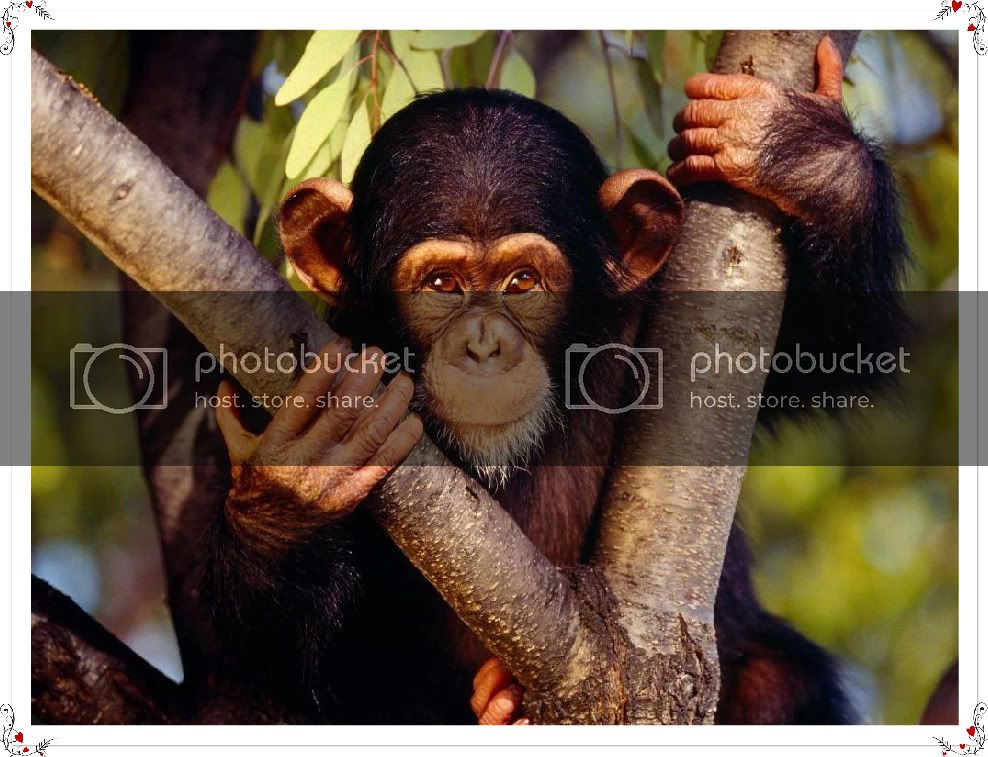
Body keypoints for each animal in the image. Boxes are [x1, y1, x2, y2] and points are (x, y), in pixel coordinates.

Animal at [200, 36, 907, 724]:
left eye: (523, 282)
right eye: (441, 284)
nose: (484, 345)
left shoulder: (656, 323)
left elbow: (833, 351)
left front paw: (803, 155)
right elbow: (269, 665)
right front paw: (298, 478)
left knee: (778, 681)